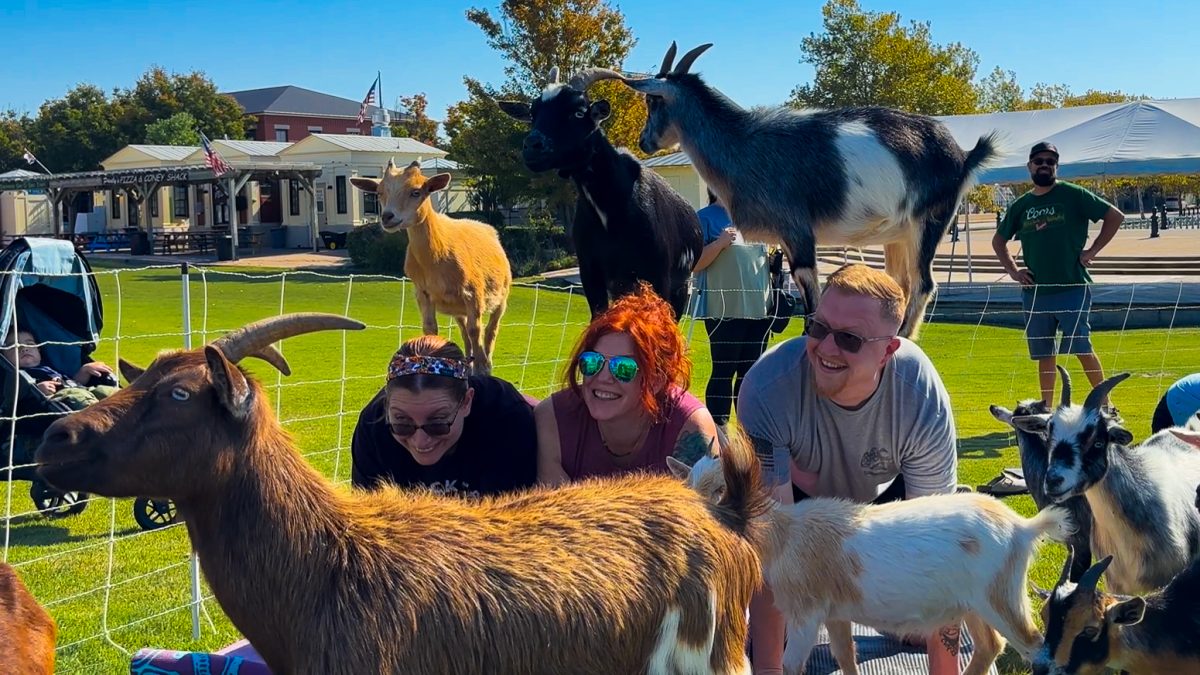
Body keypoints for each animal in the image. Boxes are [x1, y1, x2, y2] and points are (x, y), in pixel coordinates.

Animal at [37, 312, 772, 672]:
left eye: (181, 395)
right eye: (144, 378)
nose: (53, 439)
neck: (328, 565)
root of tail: (721, 511)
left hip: (709, 655)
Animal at [350, 160, 511, 374]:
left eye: (416, 192)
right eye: (379, 193)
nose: (387, 217)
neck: (437, 259)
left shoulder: (473, 294)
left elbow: (476, 330)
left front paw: (482, 368)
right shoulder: (423, 292)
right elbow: (430, 327)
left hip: (502, 297)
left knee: (490, 330)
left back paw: (486, 362)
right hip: (457, 308)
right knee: (464, 331)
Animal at [496, 66, 700, 319]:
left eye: (579, 112)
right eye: (533, 113)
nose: (532, 146)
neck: (610, 210)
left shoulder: (657, 274)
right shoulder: (591, 273)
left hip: (680, 286)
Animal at [585, 42, 998, 336]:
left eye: (653, 100)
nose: (645, 141)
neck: (745, 145)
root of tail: (963, 155)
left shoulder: (797, 229)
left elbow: (810, 293)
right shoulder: (784, 238)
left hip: (930, 220)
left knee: (924, 283)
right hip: (897, 235)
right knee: (902, 283)